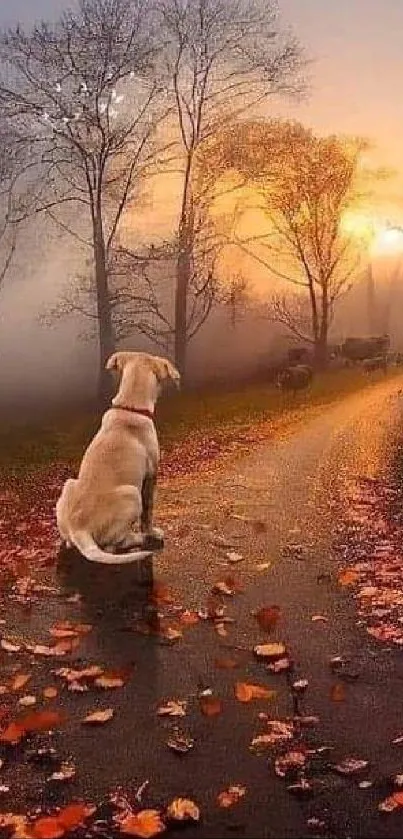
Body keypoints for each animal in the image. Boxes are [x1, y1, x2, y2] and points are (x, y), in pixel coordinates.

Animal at [54, 350, 180, 564]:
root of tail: (80, 529)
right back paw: (141, 538)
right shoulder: (151, 474)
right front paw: (152, 532)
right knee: (115, 544)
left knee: (72, 541)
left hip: (69, 484)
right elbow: (148, 512)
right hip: (131, 493)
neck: (129, 406)